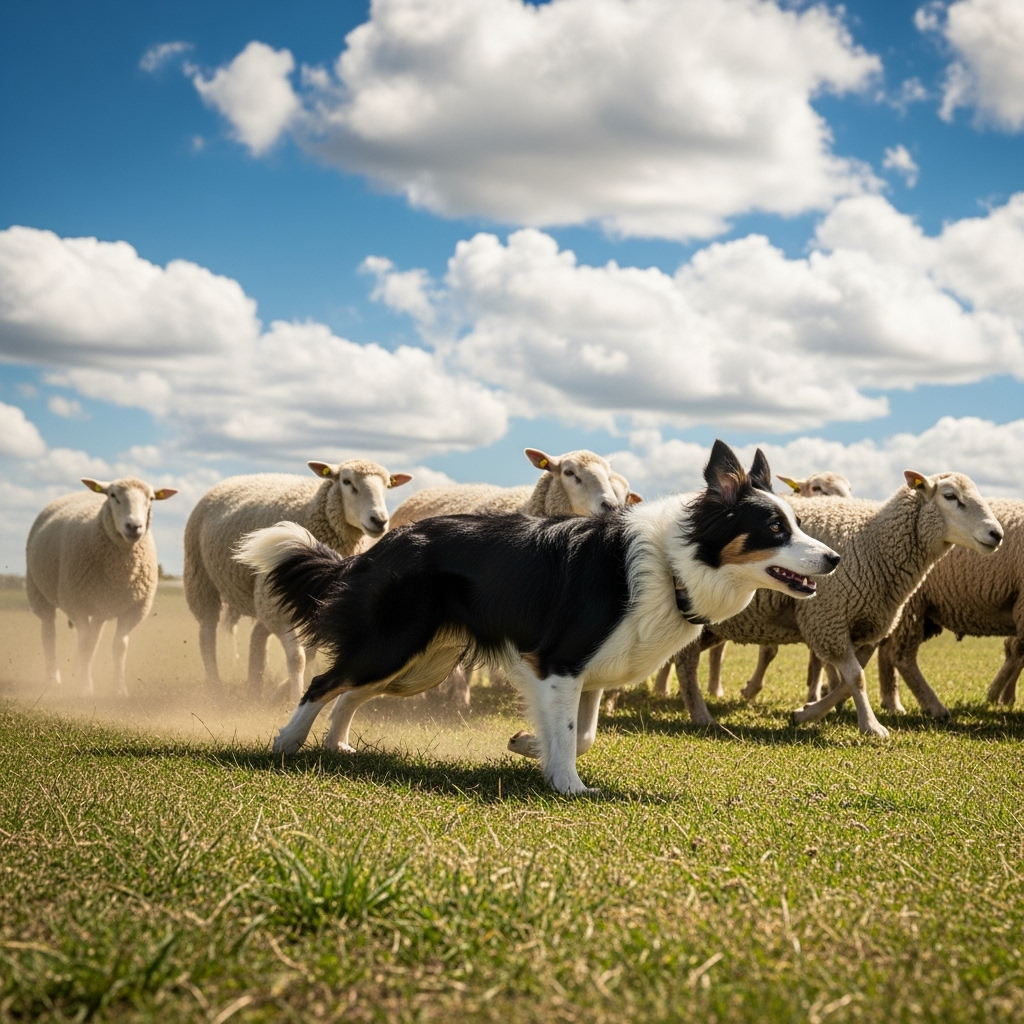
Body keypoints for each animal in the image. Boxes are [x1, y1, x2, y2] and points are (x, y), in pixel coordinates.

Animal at [25, 476, 178, 696]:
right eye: (113, 496)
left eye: (151, 498)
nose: (134, 526)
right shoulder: (76, 603)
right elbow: (85, 643)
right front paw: (85, 688)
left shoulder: (135, 608)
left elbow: (118, 646)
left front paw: (119, 689)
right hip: (39, 591)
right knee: (49, 633)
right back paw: (54, 678)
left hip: (100, 606)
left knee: (93, 637)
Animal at [183, 459, 411, 701]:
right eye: (346, 481)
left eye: (387, 486)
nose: (379, 520)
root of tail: (231, 479)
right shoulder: (279, 606)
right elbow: (297, 659)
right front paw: (293, 698)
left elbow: (310, 654)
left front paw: (281, 692)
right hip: (201, 578)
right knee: (207, 635)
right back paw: (215, 686)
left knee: (256, 638)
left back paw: (255, 688)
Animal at [649, 472, 853, 704]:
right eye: (817, 488)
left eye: (849, 488)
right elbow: (769, 651)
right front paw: (752, 689)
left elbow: (817, 658)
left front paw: (817, 692)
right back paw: (663, 687)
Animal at [671, 471, 1002, 736]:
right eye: (950, 496)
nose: (996, 534)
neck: (872, 544)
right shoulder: (828, 618)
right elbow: (856, 677)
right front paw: (872, 727)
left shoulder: (867, 627)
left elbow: (848, 681)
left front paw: (807, 713)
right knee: (686, 663)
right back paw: (701, 716)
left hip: (712, 627)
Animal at [876, 498, 1024, 718]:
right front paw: (998, 698)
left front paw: (1001, 698)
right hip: (912, 605)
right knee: (900, 656)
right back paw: (934, 707)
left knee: (886, 651)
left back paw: (892, 704)